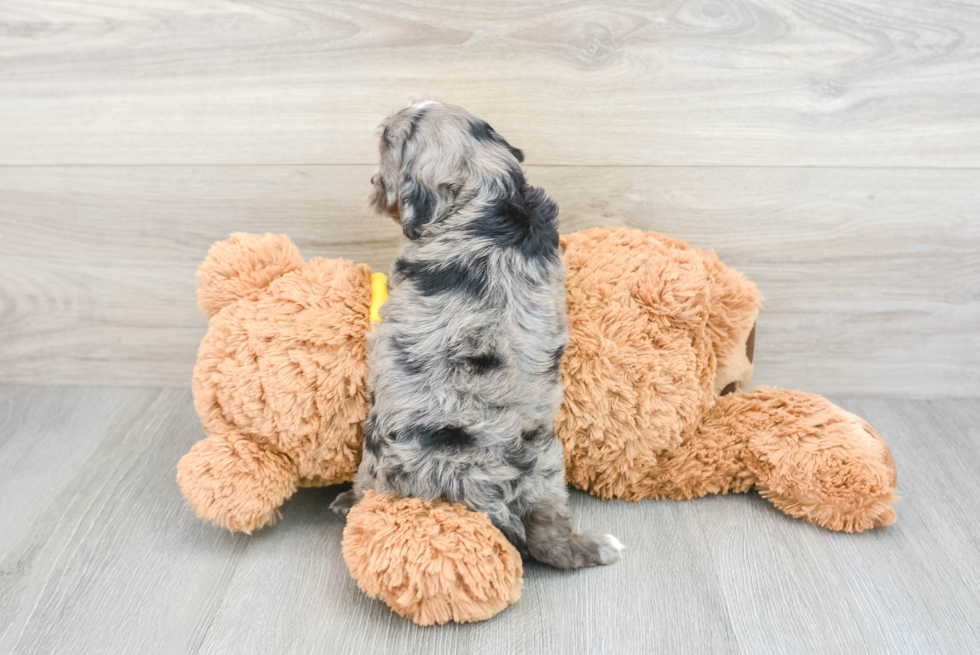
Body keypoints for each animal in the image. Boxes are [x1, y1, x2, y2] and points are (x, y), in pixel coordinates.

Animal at [330, 101, 620, 568]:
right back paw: (594, 546)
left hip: (377, 460)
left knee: (367, 490)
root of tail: (480, 488)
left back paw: (346, 503)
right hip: (548, 464)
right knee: (551, 538)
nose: (373, 183)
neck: (491, 195)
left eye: (387, 144)